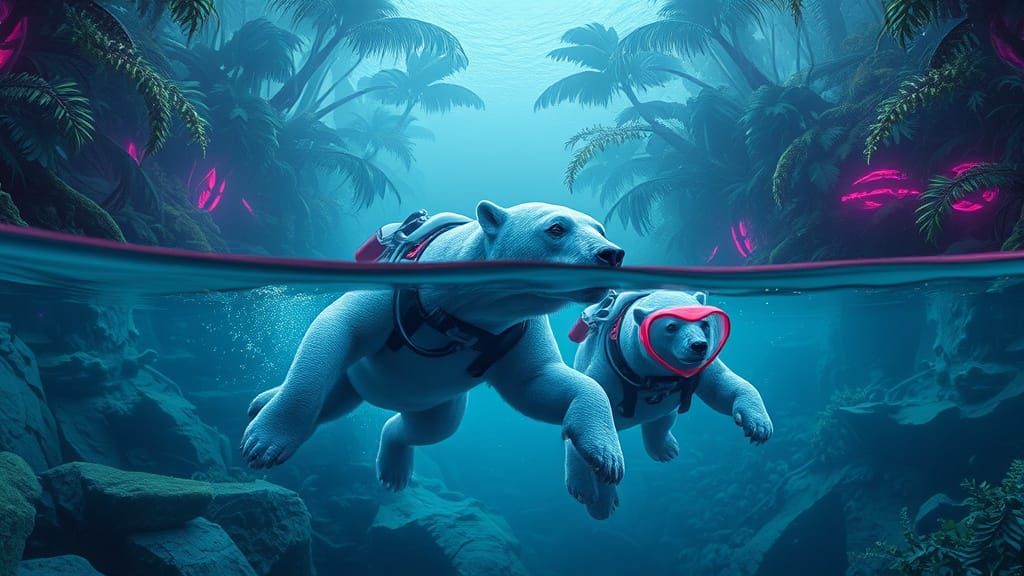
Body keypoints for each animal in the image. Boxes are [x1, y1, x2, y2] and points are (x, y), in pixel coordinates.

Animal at [242, 201, 628, 491]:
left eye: (600, 229)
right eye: (557, 228)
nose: (612, 254)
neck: (462, 315)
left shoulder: (515, 329)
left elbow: (537, 381)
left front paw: (606, 455)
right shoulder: (396, 286)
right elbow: (338, 327)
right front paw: (264, 443)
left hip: (438, 403)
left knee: (426, 428)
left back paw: (393, 467)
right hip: (353, 375)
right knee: (330, 392)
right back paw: (262, 401)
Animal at [566, 289, 773, 519]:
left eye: (705, 323)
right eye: (671, 326)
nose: (699, 346)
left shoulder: (700, 368)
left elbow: (723, 386)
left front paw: (759, 426)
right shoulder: (607, 370)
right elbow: (588, 408)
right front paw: (588, 485)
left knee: (662, 417)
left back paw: (665, 450)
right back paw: (600, 500)